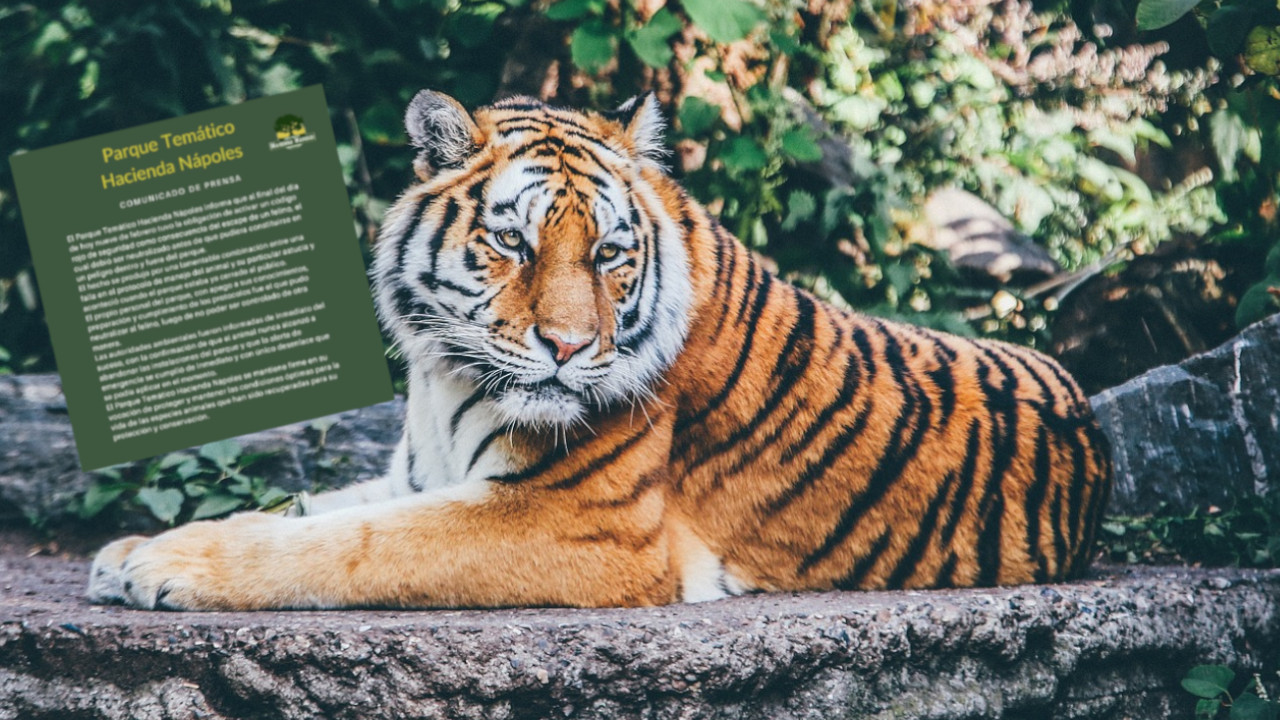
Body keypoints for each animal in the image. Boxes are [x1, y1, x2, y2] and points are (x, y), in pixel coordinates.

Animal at [87, 90, 1112, 610]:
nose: (570, 347)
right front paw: (132, 549)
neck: (441, 376)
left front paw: (164, 568)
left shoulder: (576, 523)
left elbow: (350, 545)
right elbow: (307, 509)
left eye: (611, 254)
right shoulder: (417, 473)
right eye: (513, 242)